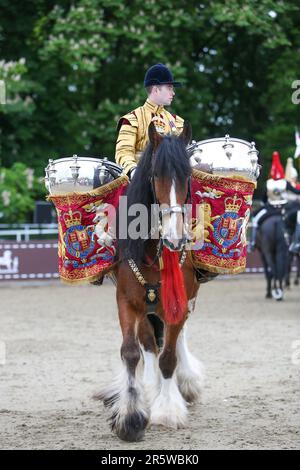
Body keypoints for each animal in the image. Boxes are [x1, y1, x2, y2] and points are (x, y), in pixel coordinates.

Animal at [95, 121, 205, 440]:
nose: (174, 237)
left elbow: (168, 357)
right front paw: (130, 418)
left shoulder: (177, 302)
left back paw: (184, 385)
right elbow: (132, 353)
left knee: (173, 341)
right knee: (148, 345)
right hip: (146, 308)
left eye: (188, 176)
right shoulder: (127, 302)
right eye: (156, 175)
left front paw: (167, 411)